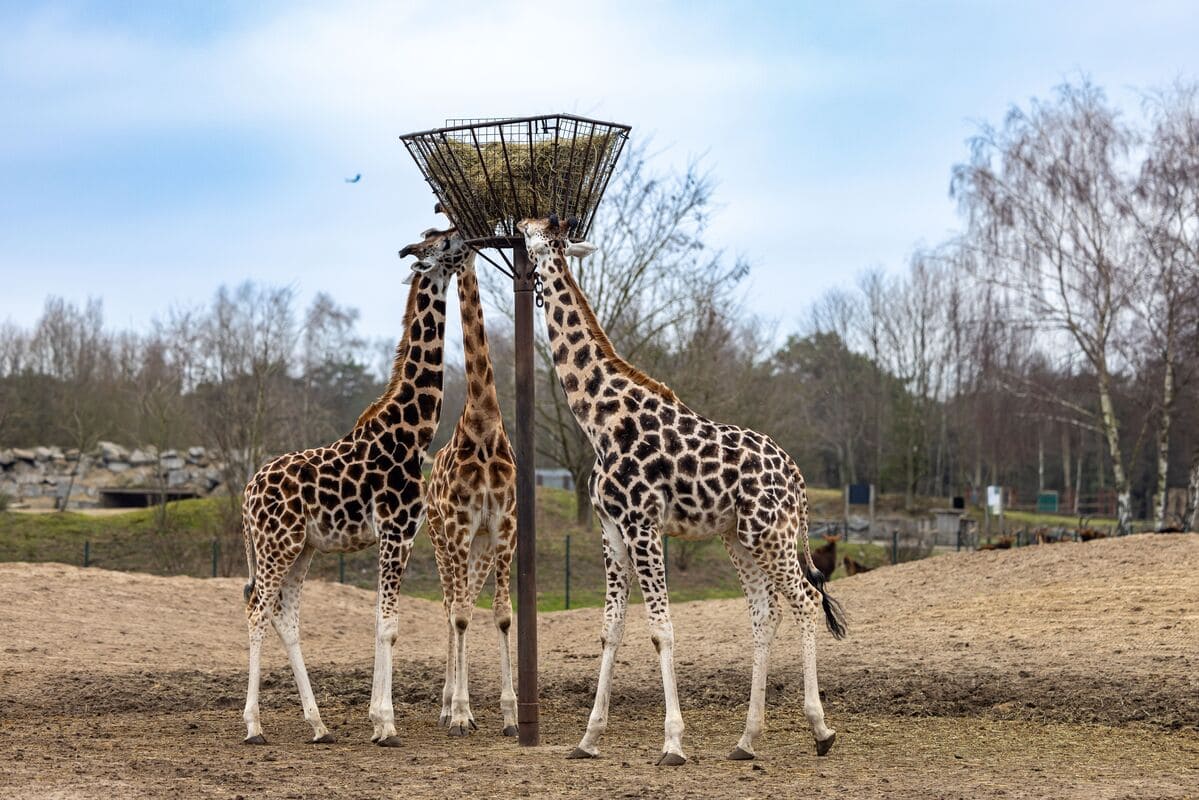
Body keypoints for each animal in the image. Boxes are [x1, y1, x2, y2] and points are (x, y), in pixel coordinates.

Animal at [240, 226, 470, 753]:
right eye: (443, 243)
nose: (467, 238)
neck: (413, 433)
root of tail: (246, 494)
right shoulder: (395, 533)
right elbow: (388, 626)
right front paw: (385, 724)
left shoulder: (400, 537)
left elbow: (383, 624)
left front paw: (376, 719)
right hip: (275, 545)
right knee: (257, 611)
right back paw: (254, 726)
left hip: (300, 549)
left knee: (285, 617)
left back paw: (319, 726)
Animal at [520, 215, 848, 767]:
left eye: (541, 232)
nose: (521, 222)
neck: (599, 420)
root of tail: (798, 479)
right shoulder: (611, 530)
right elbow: (611, 629)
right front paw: (588, 739)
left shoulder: (642, 524)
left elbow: (661, 629)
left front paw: (673, 742)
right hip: (739, 538)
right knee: (766, 613)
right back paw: (746, 740)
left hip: (771, 534)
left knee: (804, 600)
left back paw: (820, 730)